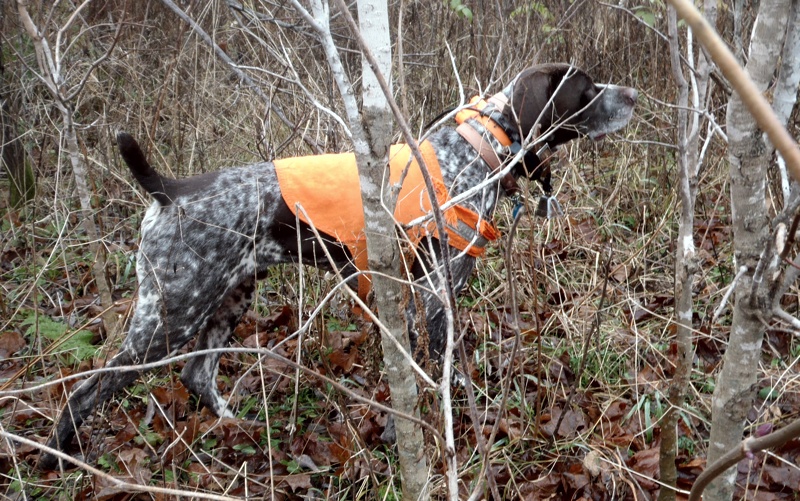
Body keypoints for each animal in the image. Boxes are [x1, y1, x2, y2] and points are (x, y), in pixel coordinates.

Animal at [39, 63, 636, 468]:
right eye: (587, 90)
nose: (633, 94)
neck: (476, 149)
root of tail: (170, 191)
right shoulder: (435, 294)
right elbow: (437, 373)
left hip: (231, 297)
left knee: (196, 374)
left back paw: (238, 431)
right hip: (171, 315)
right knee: (86, 391)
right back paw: (56, 458)